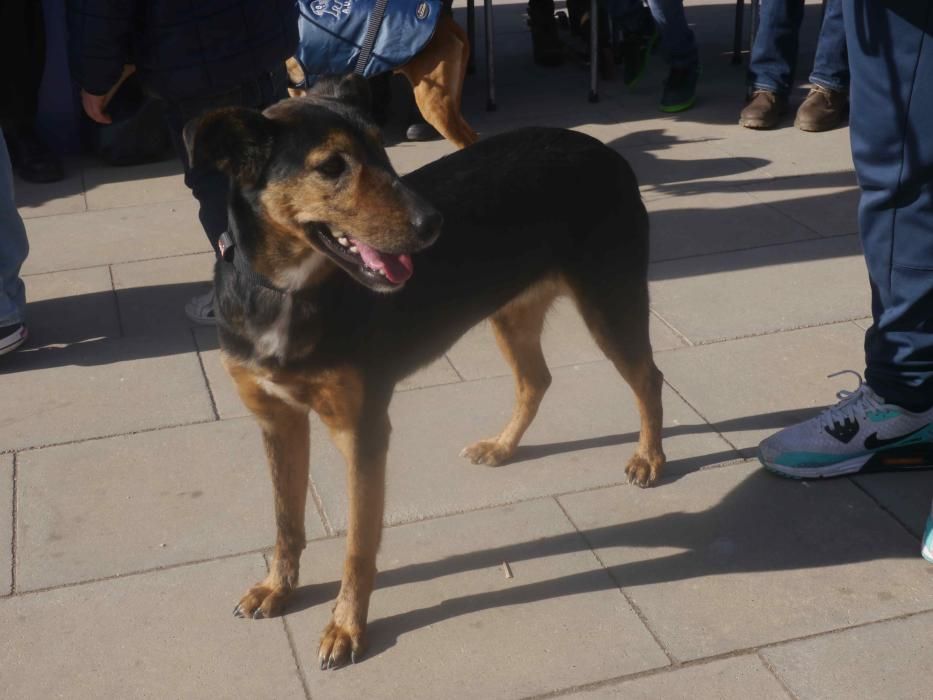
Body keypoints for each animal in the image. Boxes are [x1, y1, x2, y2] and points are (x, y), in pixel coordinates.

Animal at [184, 76, 664, 668]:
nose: (434, 225)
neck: (286, 291)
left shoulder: (362, 430)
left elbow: (358, 546)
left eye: (381, 149)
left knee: (647, 378)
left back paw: (650, 458)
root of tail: (604, 150)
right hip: (511, 311)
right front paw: (279, 587)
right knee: (537, 380)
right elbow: (285, 520)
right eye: (332, 166)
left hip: (610, 301)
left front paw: (346, 626)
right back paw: (502, 446)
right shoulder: (277, 421)